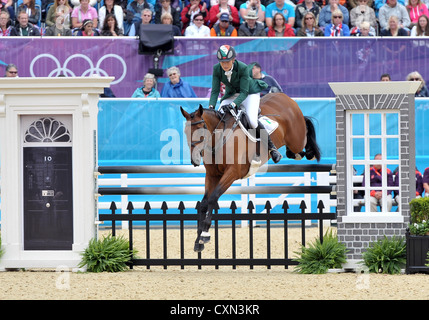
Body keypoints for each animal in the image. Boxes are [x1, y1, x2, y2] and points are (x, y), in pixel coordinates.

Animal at [179, 92, 320, 252]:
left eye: (202, 129)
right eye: (185, 131)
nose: (195, 159)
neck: (219, 138)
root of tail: (285, 97)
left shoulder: (232, 173)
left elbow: (213, 199)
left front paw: (204, 235)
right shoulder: (212, 175)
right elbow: (204, 203)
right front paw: (199, 240)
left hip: (296, 139)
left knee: (304, 135)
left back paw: (309, 152)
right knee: (294, 152)